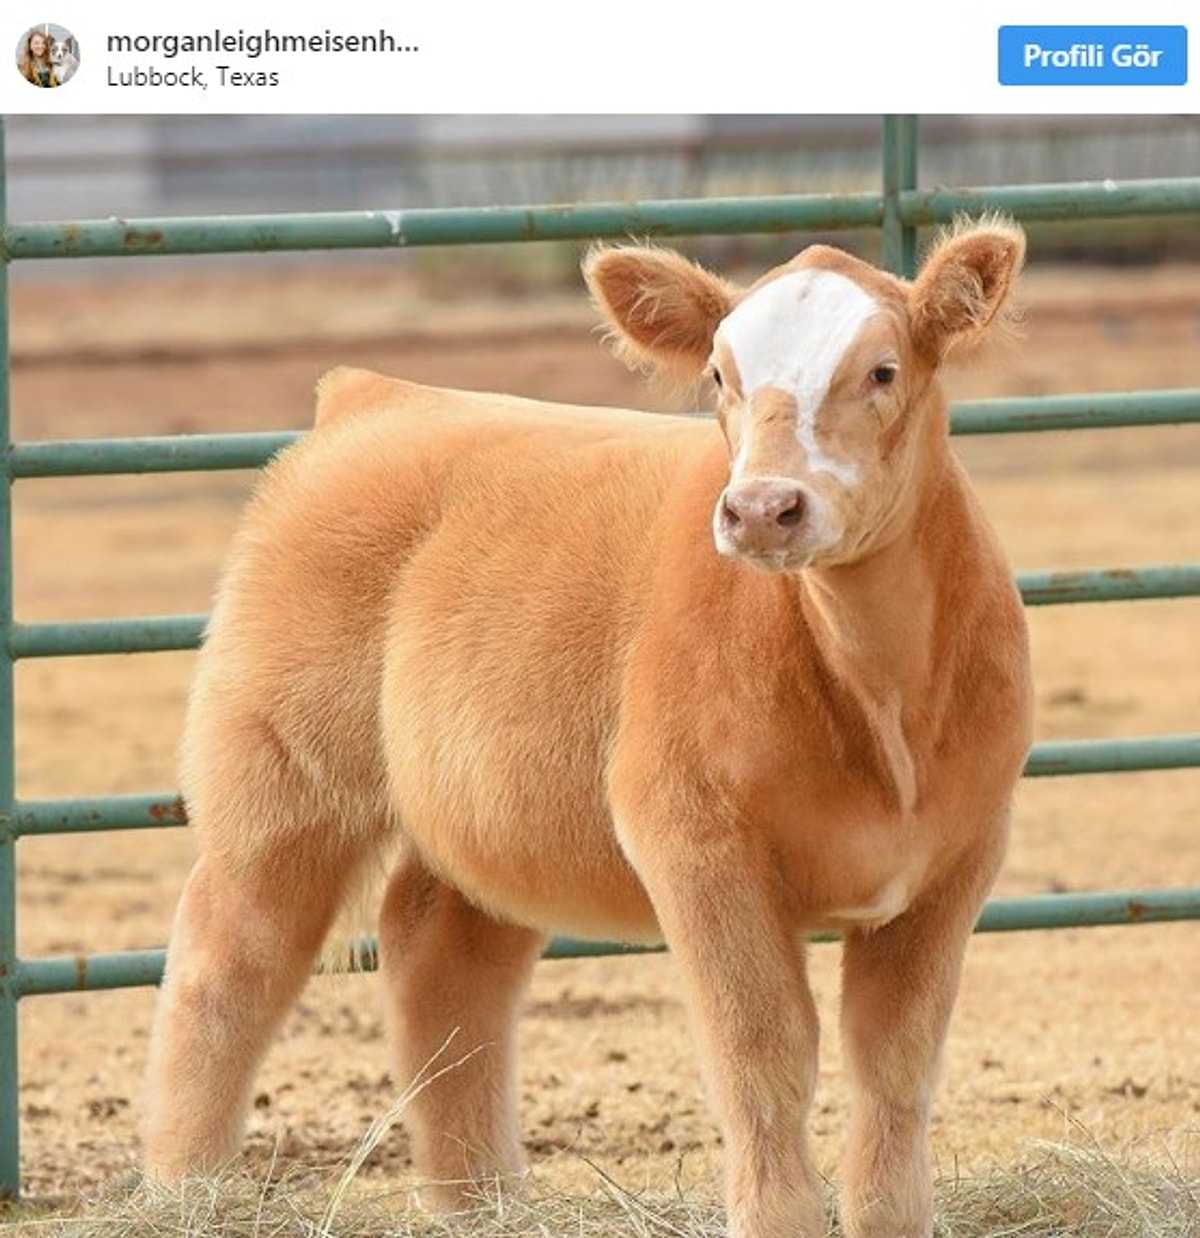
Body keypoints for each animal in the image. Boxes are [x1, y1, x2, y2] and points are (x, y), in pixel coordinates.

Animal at [141, 217, 1033, 1238]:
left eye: (883, 370)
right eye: (719, 374)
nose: (761, 507)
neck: (877, 694)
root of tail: (378, 398)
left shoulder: (960, 857)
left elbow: (896, 1064)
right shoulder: (694, 843)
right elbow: (763, 1059)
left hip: (488, 814)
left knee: (443, 959)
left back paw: (479, 1202)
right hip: (283, 772)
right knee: (227, 964)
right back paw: (185, 1194)